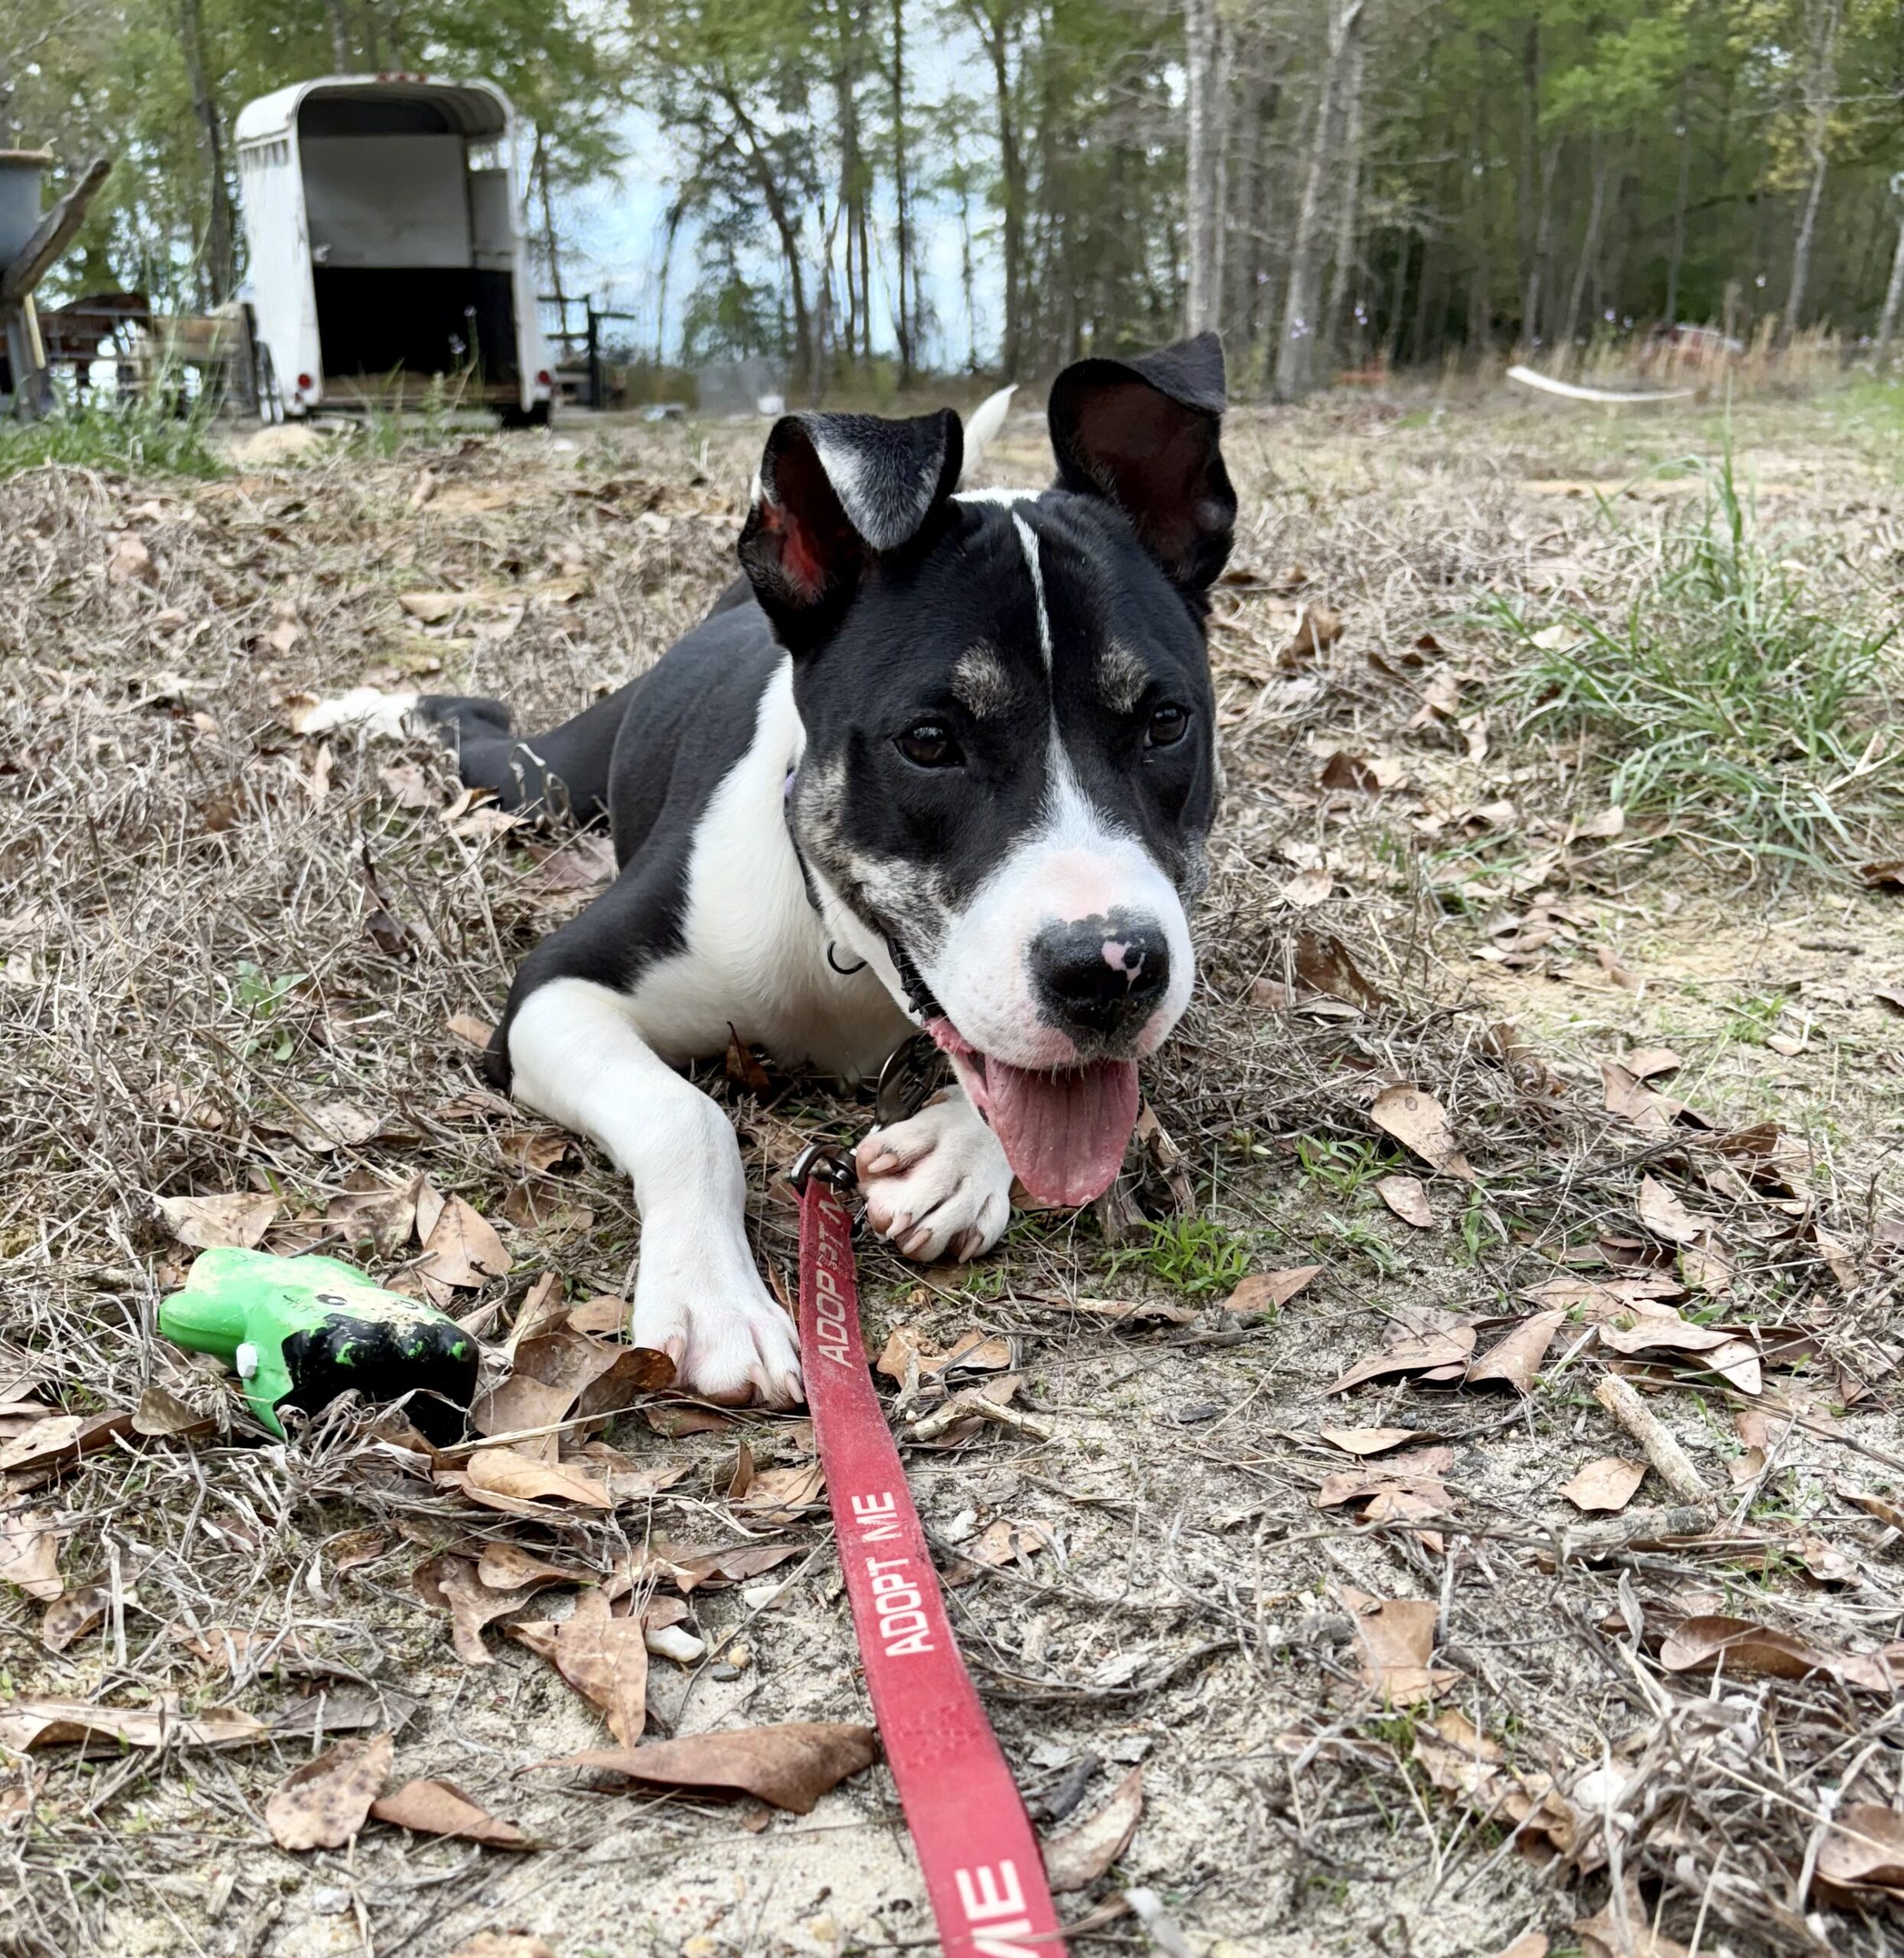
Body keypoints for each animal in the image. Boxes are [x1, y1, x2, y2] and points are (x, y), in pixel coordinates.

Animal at [307, 333, 1236, 1409]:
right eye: (929, 741)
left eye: (1164, 721)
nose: (1108, 970)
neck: (838, 946)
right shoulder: (551, 990)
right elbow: (688, 1115)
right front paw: (713, 1300)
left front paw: (955, 1153)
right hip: (539, 778)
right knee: (475, 722)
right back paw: (368, 707)